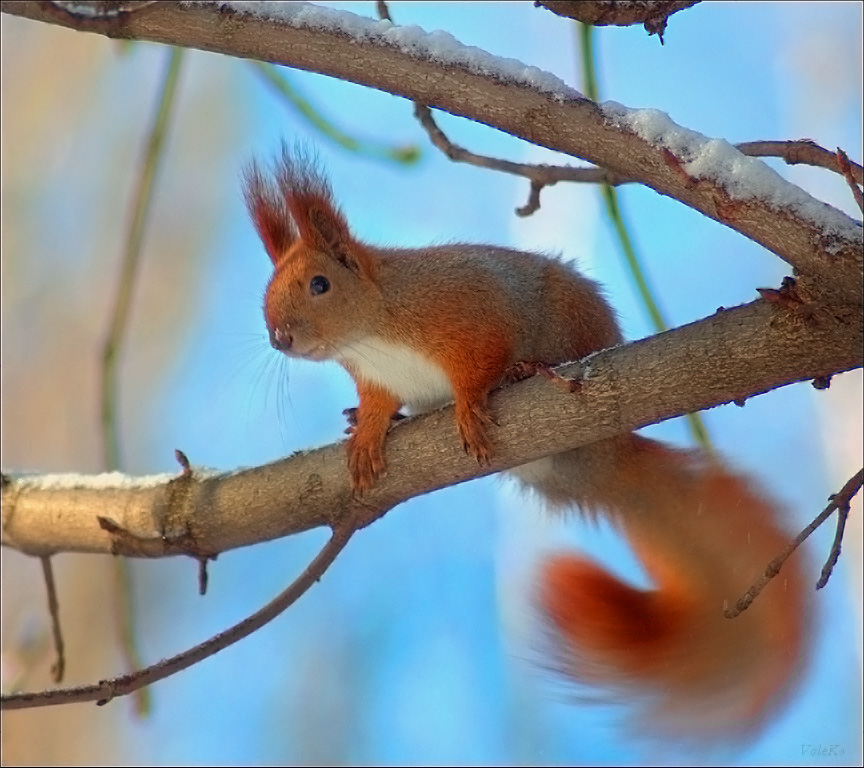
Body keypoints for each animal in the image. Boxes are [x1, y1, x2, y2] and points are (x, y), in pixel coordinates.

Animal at [245, 148, 808, 736]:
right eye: (268, 289)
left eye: (320, 284)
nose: (279, 337)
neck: (372, 331)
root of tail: (608, 461)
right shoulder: (377, 380)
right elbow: (378, 403)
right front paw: (370, 431)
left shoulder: (470, 314)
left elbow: (478, 366)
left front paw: (470, 406)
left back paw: (524, 371)